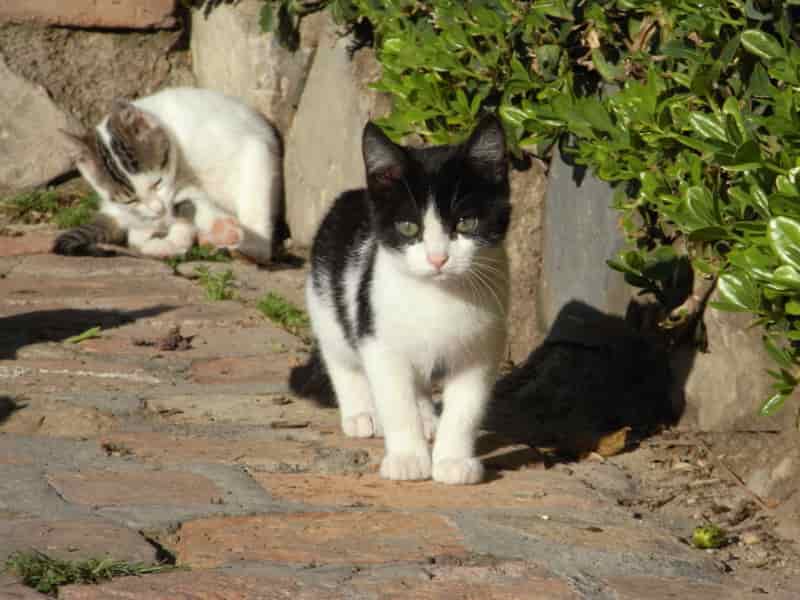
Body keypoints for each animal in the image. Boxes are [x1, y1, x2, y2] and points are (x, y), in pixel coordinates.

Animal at [56, 86, 282, 262]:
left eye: (157, 182)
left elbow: (253, 202)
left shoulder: (253, 149)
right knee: (138, 235)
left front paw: (255, 244)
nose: (158, 209)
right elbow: (189, 210)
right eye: (130, 199)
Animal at [306, 115, 512, 486]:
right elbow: (395, 401)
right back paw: (361, 413)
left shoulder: (482, 347)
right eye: (407, 228)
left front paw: (453, 460)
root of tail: (355, 194)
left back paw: (428, 419)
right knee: (340, 356)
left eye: (467, 222)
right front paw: (407, 458)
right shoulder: (379, 339)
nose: (438, 258)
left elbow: (466, 407)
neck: (438, 295)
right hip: (327, 303)